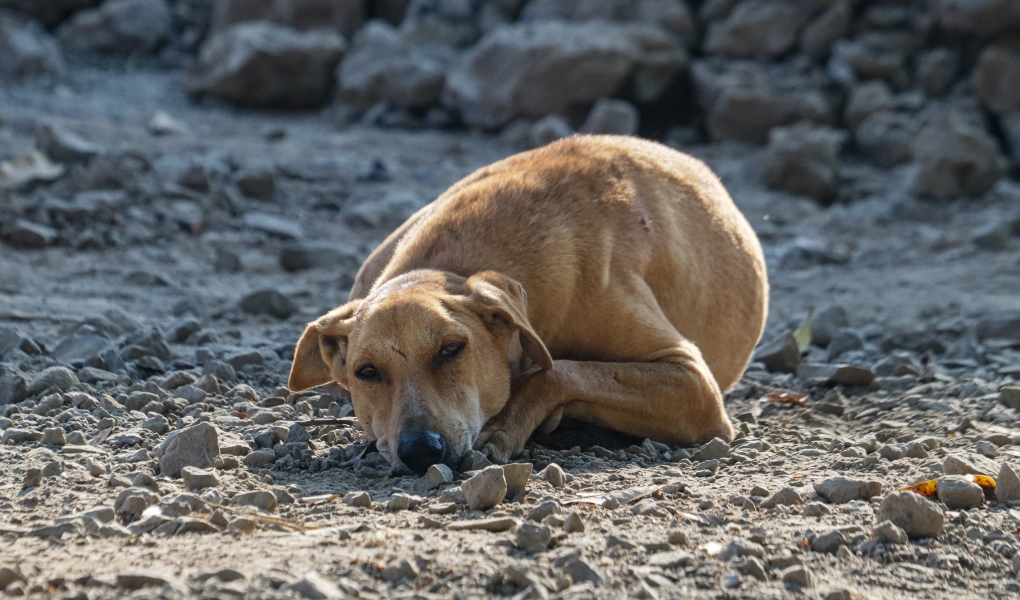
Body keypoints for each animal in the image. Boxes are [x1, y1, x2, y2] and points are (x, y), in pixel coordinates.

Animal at [287, 135, 767, 473]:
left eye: (451, 349)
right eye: (367, 372)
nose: (422, 450)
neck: (454, 264)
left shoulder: (694, 384)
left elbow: (561, 371)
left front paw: (507, 423)